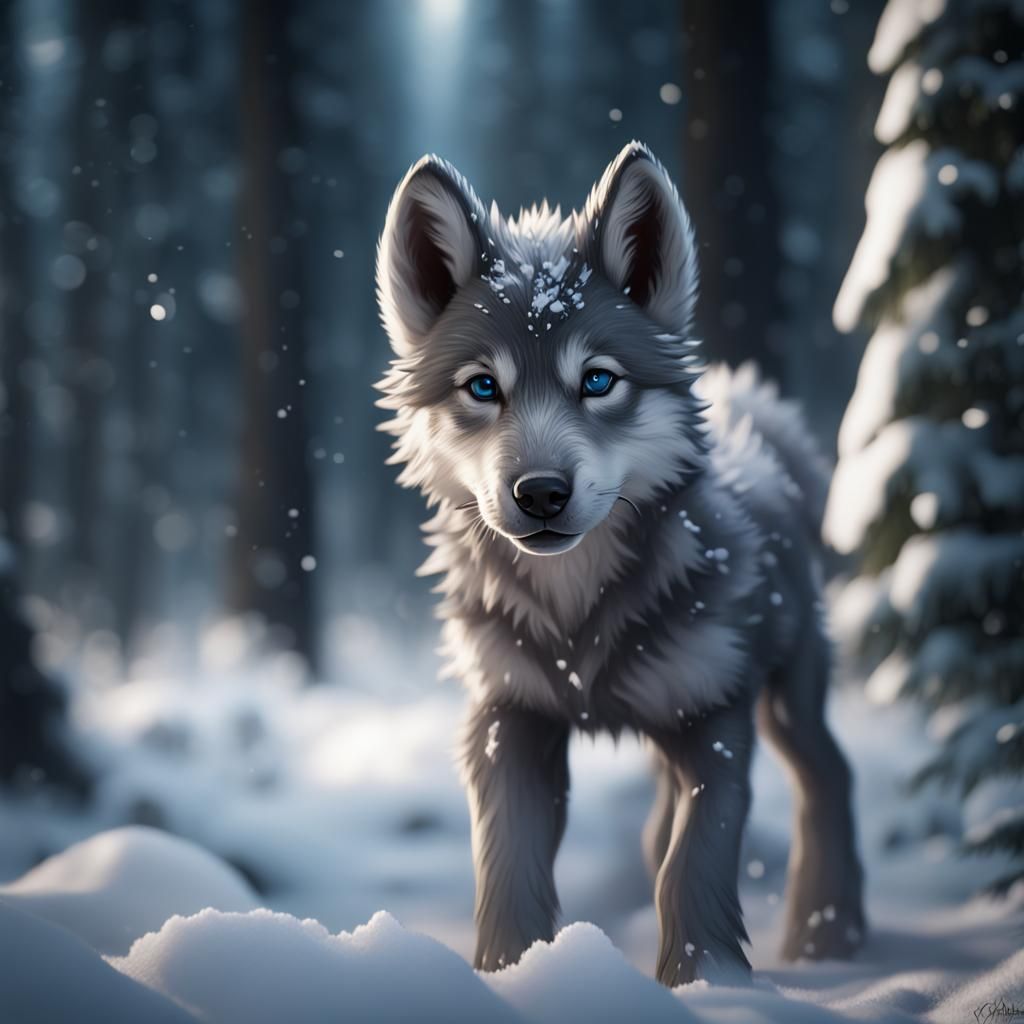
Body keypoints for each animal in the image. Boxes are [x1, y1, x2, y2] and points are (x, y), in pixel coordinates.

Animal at [375, 141, 865, 986]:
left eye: (598, 380)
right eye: (483, 387)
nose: (540, 493)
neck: (577, 616)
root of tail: (764, 419)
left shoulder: (714, 721)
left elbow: (693, 860)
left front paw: (706, 982)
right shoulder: (508, 719)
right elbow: (509, 861)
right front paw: (509, 975)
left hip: (788, 693)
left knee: (827, 773)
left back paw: (826, 937)